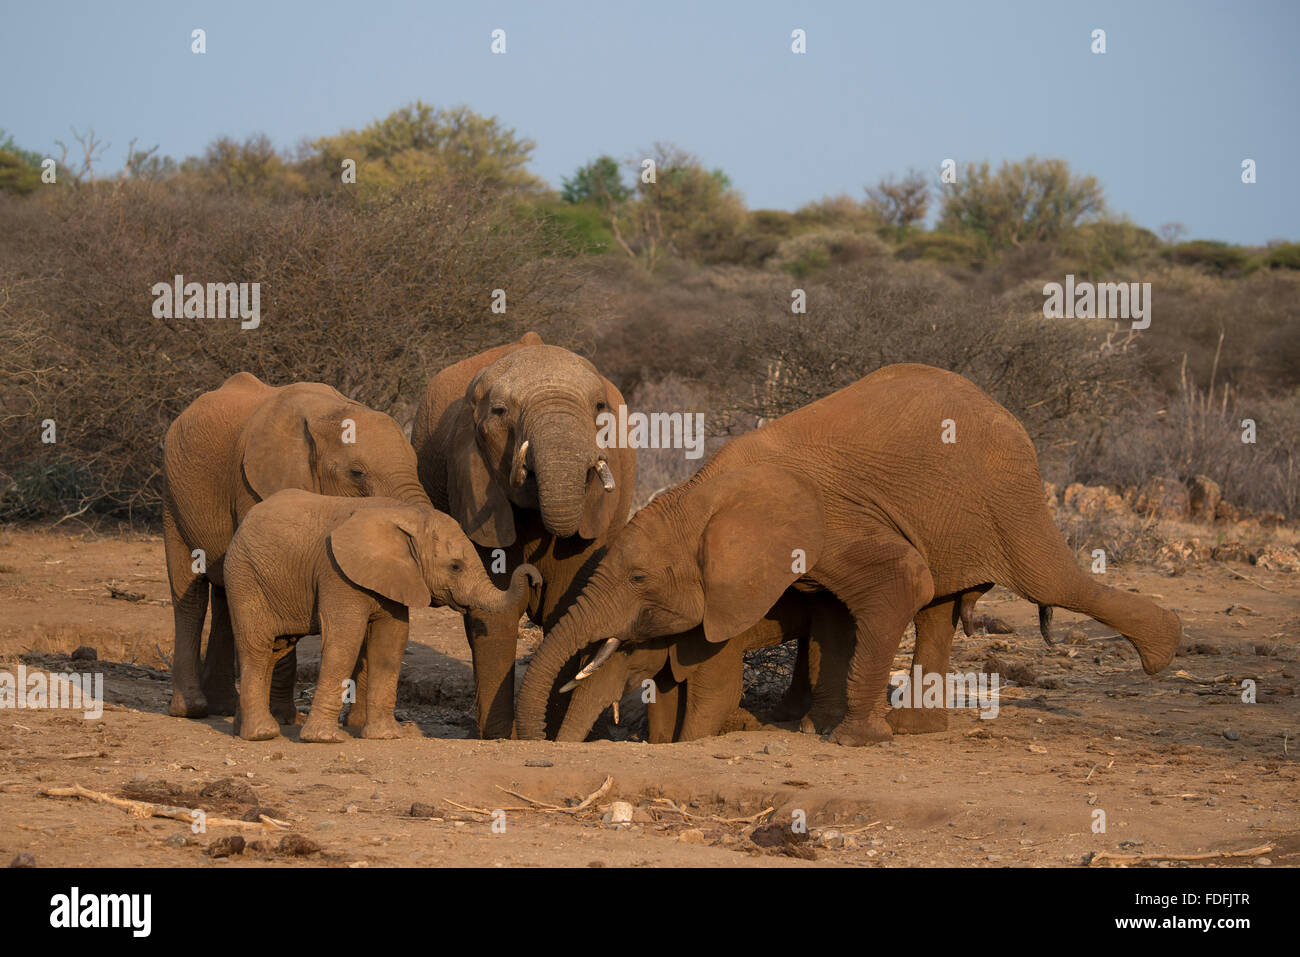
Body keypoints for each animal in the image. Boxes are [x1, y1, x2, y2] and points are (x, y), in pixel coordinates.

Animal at [162, 371, 431, 717]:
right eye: (357, 473)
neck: (328, 415)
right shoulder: (253, 486)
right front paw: (284, 716)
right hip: (173, 498)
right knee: (190, 593)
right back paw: (192, 709)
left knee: (224, 595)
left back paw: (224, 706)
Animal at [223, 488, 538, 743]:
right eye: (456, 566)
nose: (534, 578)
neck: (405, 517)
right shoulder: (337, 574)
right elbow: (344, 641)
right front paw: (324, 739)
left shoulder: (395, 578)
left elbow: (391, 642)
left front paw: (385, 736)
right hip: (244, 577)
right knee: (257, 646)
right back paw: (262, 733)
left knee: (275, 649)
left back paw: (243, 730)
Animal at [410, 332, 634, 738]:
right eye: (500, 411)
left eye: (599, 408)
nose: (533, 578)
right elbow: (495, 610)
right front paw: (499, 737)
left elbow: (566, 605)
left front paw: (551, 737)